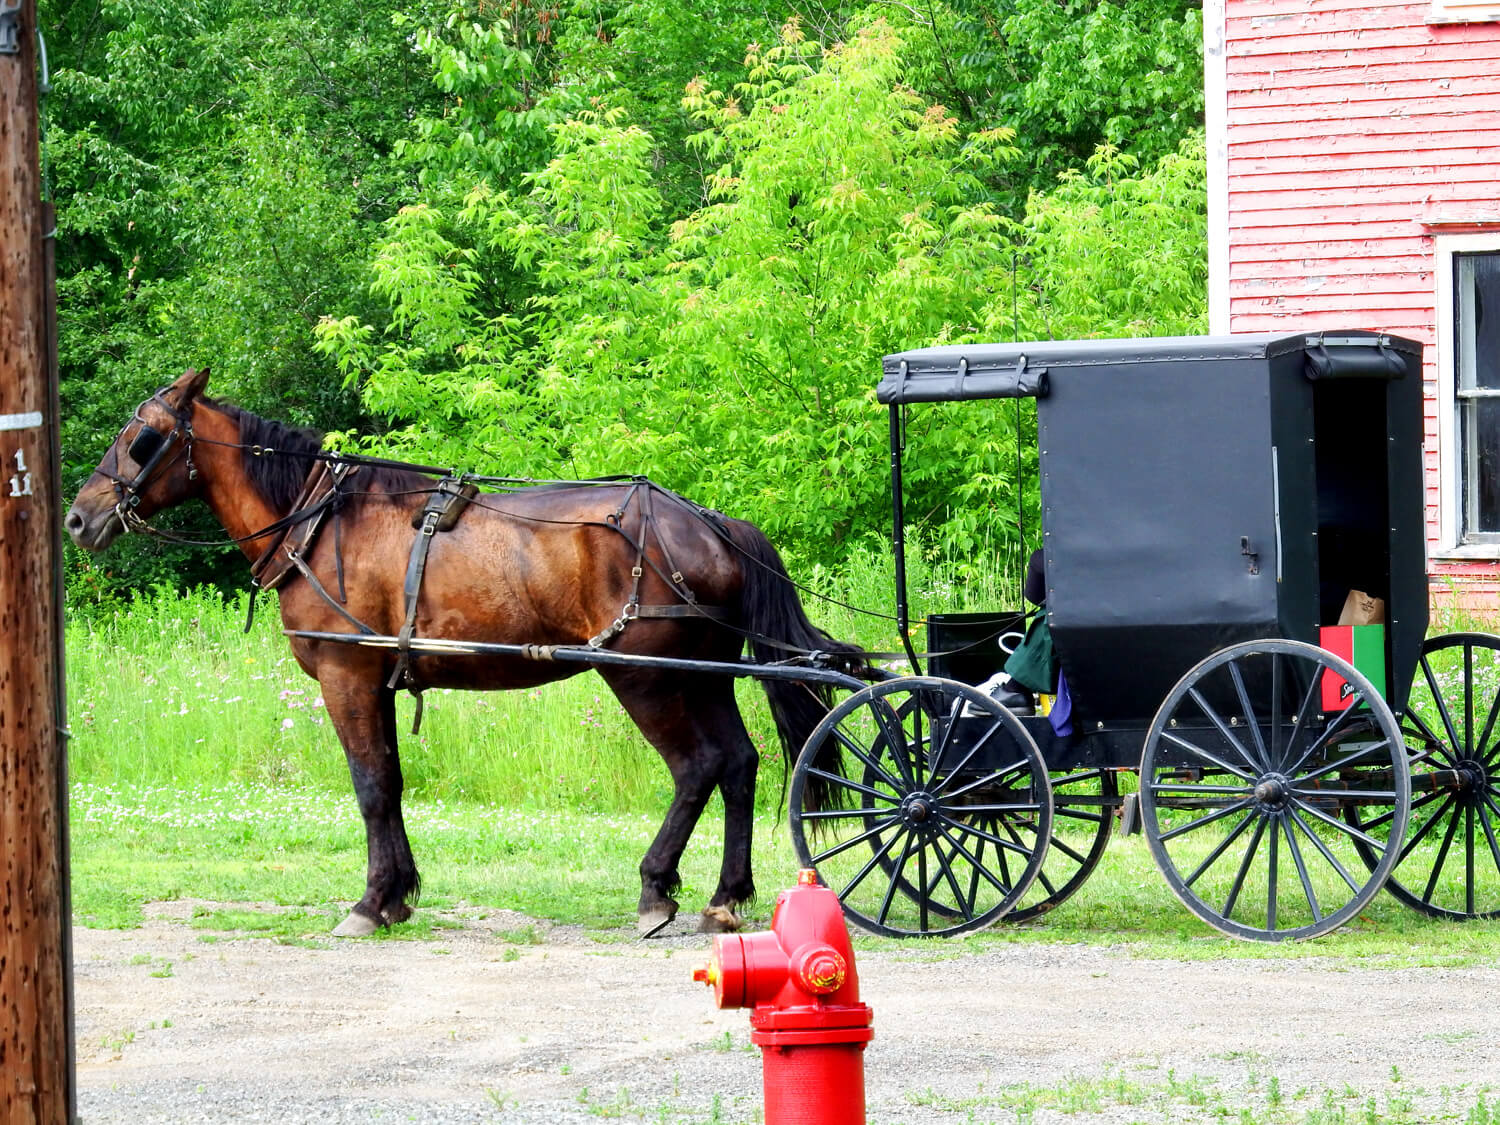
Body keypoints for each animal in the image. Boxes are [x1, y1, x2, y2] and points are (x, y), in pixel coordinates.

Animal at [64, 367, 870, 936]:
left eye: (142, 437)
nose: (78, 518)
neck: (319, 523)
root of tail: (712, 522)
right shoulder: (377, 682)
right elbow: (390, 783)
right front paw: (397, 896)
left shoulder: (345, 676)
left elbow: (370, 787)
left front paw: (369, 902)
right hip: (702, 678)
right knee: (737, 763)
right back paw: (725, 897)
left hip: (643, 677)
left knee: (697, 766)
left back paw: (654, 889)